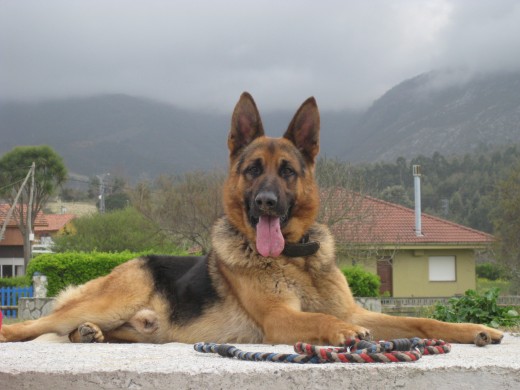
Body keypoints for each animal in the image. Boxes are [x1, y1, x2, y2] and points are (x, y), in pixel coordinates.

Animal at [0, 93, 504, 346]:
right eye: (252, 170)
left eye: (287, 172)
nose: (265, 203)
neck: (297, 259)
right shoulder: (281, 319)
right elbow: (319, 319)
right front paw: (341, 333)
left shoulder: (359, 309)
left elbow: (422, 323)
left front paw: (472, 329)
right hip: (111, 299)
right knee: (36, 326)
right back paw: (38, 331)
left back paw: (90, 335)